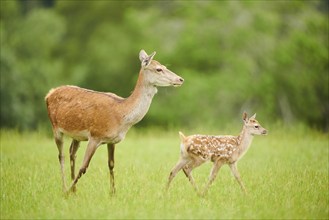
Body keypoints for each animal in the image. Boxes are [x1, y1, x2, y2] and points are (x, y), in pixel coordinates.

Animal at [45, 49, 183, 194]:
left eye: (165, 66)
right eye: (158, 69)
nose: (180, 79)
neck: (121, 116)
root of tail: (49, 94)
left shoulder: (111, 140)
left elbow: (111, 164)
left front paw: (113, 193)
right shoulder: (95, 136)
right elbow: (84, 167)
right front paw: (66, 193)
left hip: (76, 135)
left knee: (72, 153)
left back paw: (74, 190)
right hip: (55, 127)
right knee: (61, 156)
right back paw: (66, 188)